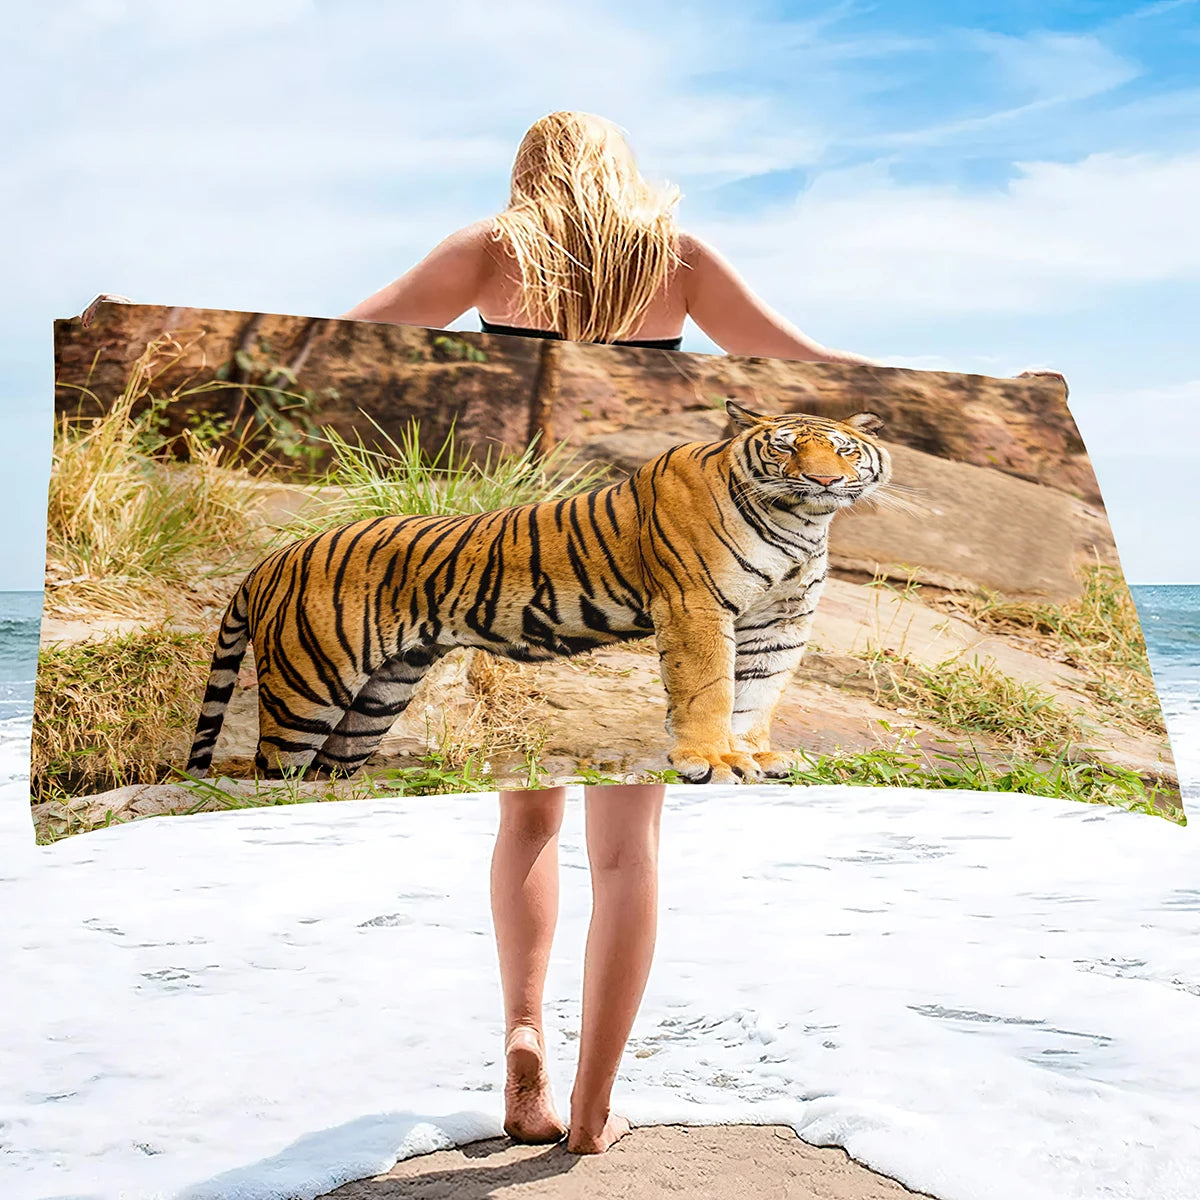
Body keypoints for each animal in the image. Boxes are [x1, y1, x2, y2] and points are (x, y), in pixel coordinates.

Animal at [186, 401, 891, 786]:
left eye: (845, 451)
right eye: (785, 448)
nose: (826, 481)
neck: (802, 524)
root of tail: (272, 558)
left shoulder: (781, 621)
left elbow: (757, 694)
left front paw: (756, 757)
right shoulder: (696, 605)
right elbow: (710, 691)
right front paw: (711, 760)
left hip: (379, 695)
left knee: (324, 774)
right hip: (308, 685)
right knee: (269, 770)